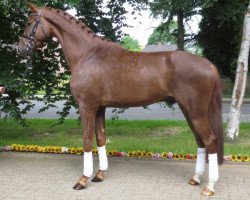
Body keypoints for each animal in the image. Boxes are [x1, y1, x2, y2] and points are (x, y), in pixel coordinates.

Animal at [18, 3, 224, 197]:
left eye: (29, 22)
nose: (20, 49)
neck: (87, 54)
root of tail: (208, 63)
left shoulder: (86, 107)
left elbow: (87, 140)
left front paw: (83, 179)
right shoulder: (99, 108)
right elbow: (101, 138)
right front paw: (99, 174)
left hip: (196, 112)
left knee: (210, 140)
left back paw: (209, 187)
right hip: (188, 110)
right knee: (200, 141)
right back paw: (195, 179)